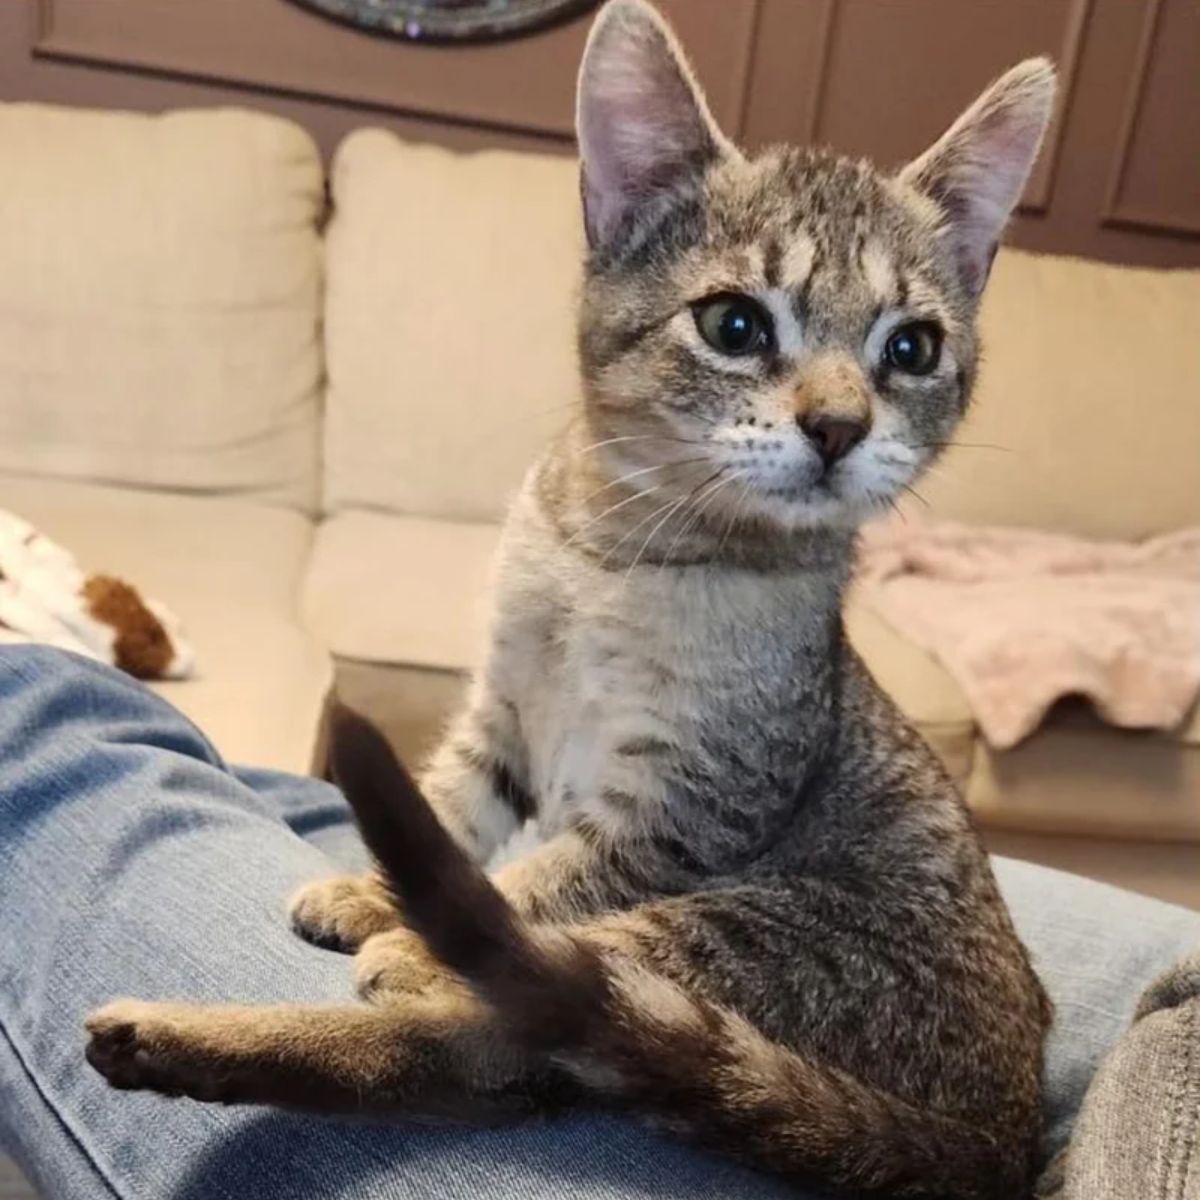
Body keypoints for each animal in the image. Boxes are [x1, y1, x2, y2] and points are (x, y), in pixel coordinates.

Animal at [87, 4, 1060, 1195]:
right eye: (735, 325)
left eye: (911, 349)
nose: (839, 426)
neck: (614, 552)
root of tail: (1000, 1137)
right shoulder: (505, 706)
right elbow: (451, 808)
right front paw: (373, 885)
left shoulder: (686, 806)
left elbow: (538, 886)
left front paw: (412, 925)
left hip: (752, 937)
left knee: (513, 1034)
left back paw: (224, 1027)